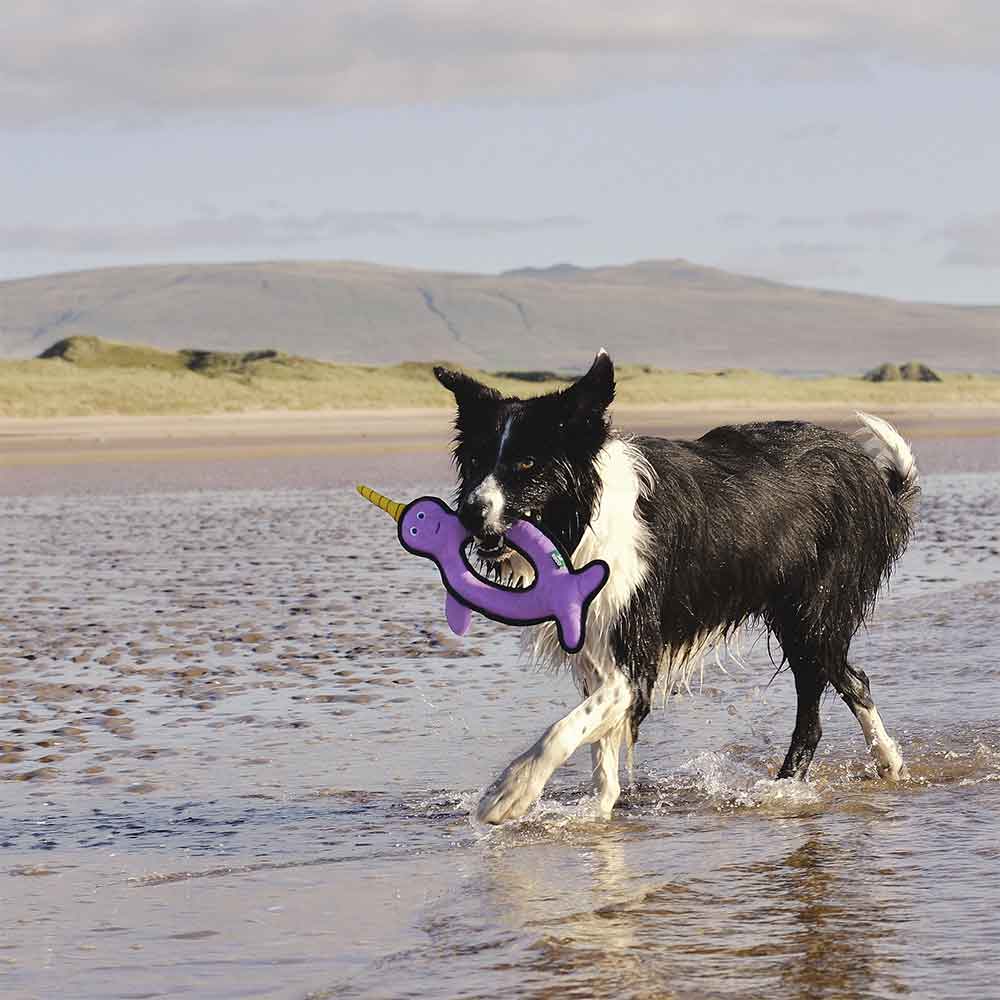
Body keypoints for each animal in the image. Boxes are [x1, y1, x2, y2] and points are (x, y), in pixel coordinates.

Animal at [434, 350, 916, 820]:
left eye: (528, 463)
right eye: (475, 461)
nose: (469, 514)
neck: (581, 522)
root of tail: (875, 477)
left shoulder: (635, 653)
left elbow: (564, 728)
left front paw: (509, 792)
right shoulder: (597, 647)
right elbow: (600, 752)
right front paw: (598, 813)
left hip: (814, 615)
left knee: (830, 698)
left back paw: (814, 781)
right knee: (845, 684)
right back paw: (868, 767)